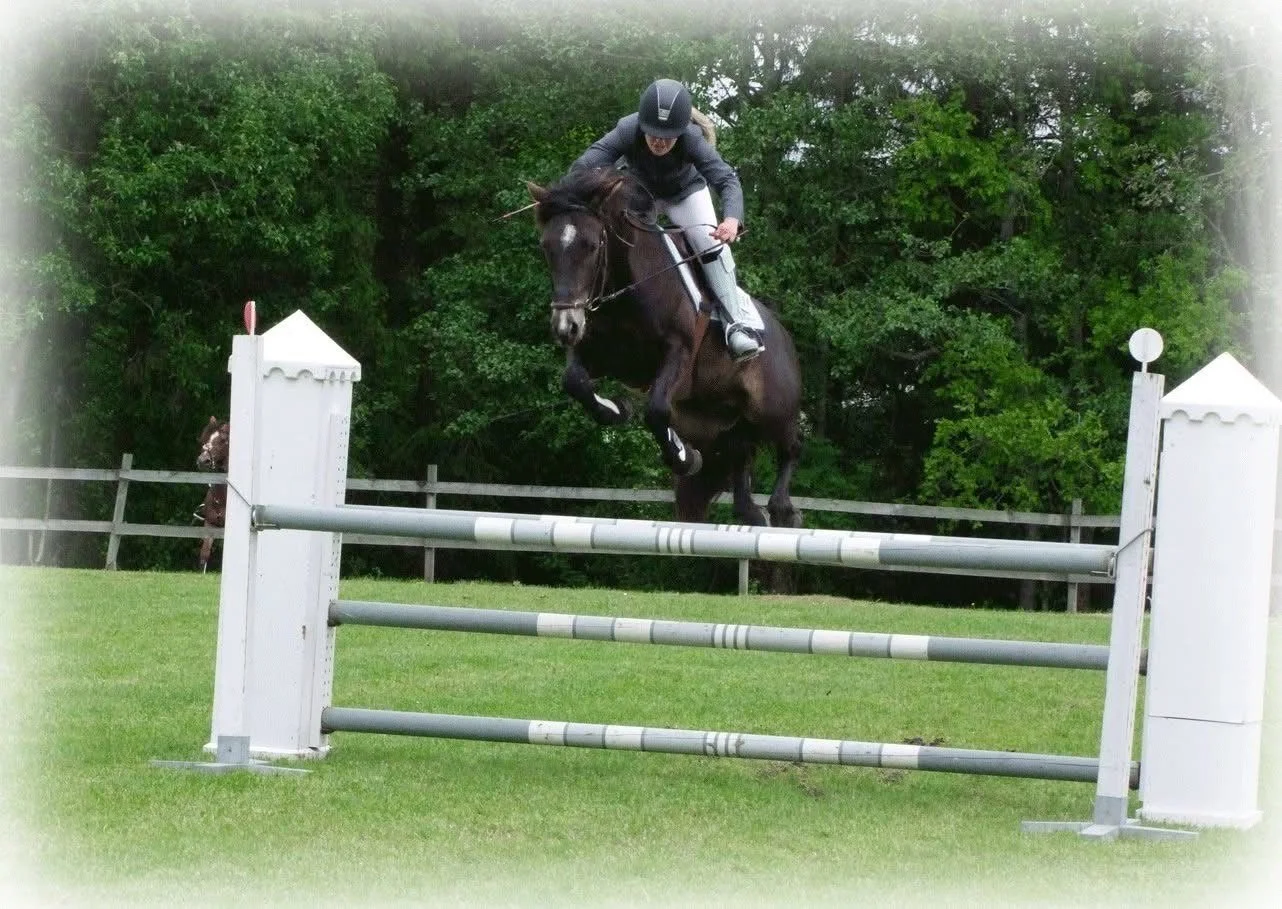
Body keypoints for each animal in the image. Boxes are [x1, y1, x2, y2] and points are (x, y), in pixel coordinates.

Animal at [526, 167, 803, 527]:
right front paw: (617, 409)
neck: (627, 290)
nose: (564, 326)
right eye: (546, 246)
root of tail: (783, 334)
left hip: (772, 408)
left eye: (592, 245)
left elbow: (656, 409)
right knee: (739, 470)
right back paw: (756, 512)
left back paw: (783, 508)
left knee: (791, 446)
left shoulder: (678, 353)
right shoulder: (594, 351)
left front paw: (683, 457)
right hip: (719, 426)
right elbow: (575, 381)